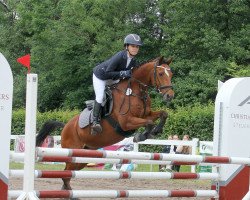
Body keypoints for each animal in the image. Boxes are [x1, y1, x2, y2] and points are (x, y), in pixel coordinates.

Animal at [36, 55, 174, 192]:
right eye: (161, 73)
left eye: (171, 74)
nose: (170, 96)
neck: (134, 91)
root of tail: (65, 127)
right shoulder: (126, 122)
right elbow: (149, 122)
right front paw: (142, 135)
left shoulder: (146, 114)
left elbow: (163, 114)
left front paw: (156, 130)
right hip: (73, 152)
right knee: (66, 173)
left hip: (84, 156)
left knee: (67, 174)